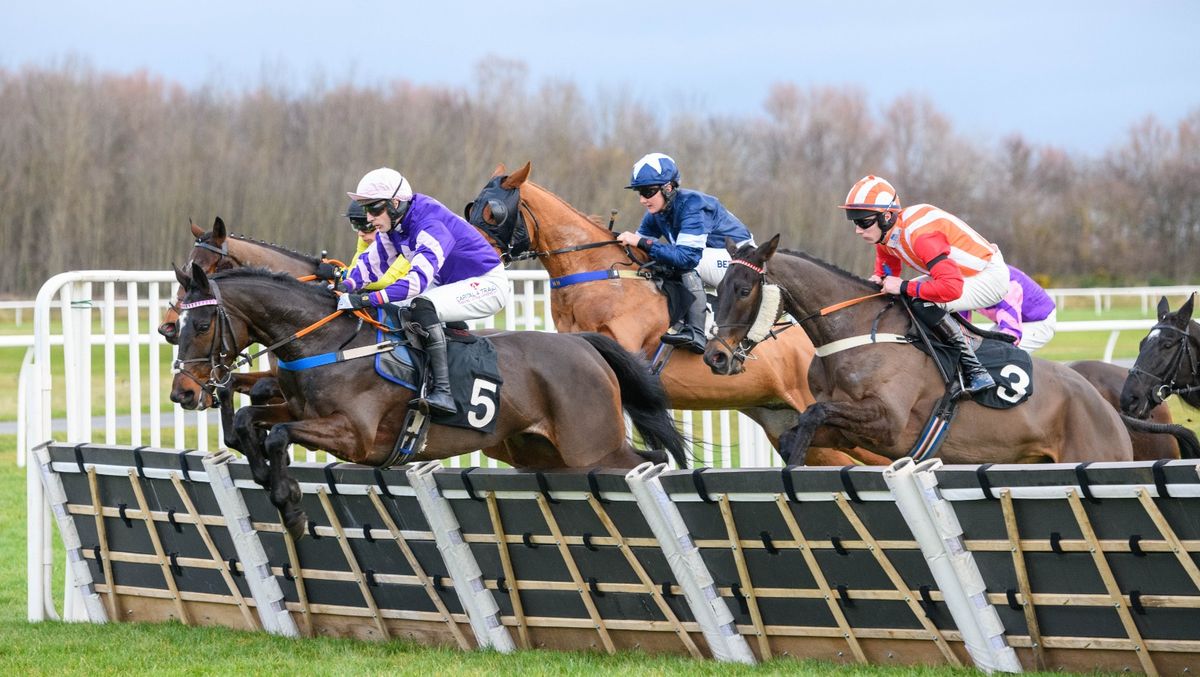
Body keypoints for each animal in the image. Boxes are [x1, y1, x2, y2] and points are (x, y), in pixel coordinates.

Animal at [172, 261, 691, 537]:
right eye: (174, 325)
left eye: (201, 324)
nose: (183, 392)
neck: (330, 342)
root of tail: (583, 344)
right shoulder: (298, 408)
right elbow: (249, 421)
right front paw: (267, 479)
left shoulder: (356, 437)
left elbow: (278, 434)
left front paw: (290, 504)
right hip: (541, 452)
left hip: (593, 447)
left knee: (648, 461)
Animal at [463, 162, 888, 468]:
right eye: (473, 208)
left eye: (494, 212)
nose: (474, 256)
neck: (599, 274)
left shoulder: (629, 350)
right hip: (792, 425)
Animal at [700, 234, 1152, 465]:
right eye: (718, 286)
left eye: (744, 290)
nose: (715, 356)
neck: (858, 332)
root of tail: (1106, 406)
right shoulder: (846, 431)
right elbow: (801, 428)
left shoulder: (889, 421)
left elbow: (813, 414)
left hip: (1099, 455)